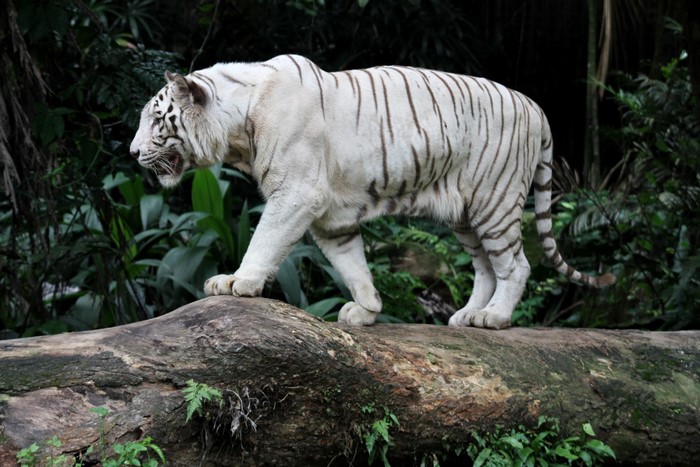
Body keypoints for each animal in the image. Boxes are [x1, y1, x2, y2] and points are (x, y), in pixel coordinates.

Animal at [129, 54, 614, 329]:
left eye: (156, 119)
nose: (133, 152)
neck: (237, 132)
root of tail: (536, 106)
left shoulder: (296, 195)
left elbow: (264, 241)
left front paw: (237, 282)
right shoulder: (330, 218)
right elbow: (353, 265)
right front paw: (366, 309)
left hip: (493, 201)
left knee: (516, 265)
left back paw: (494, 317)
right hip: (464, 214)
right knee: (485, 267)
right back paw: (467, 316)